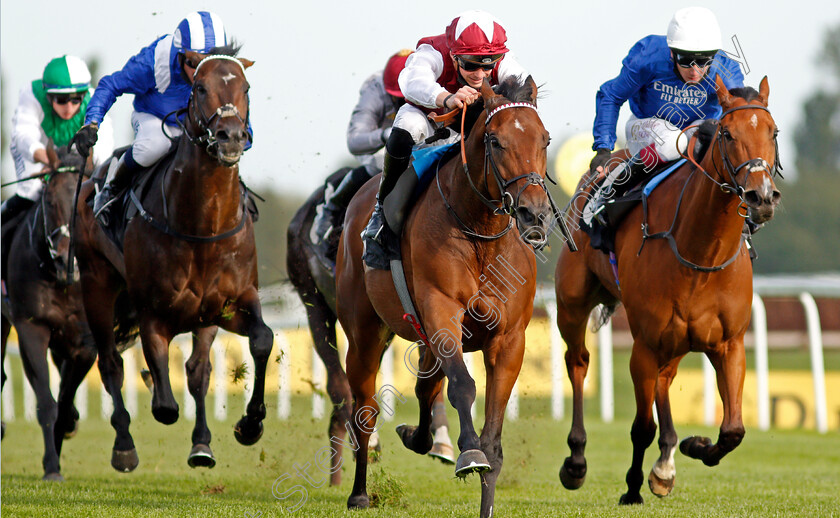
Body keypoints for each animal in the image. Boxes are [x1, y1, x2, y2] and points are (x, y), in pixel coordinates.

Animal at [74, 46, 272, 474]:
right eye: (200, 87)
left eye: (246, 87)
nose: (231, 136)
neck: (203, 225)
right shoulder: (153, 312)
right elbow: (164, 404)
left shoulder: (229, 303)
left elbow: (259, 341)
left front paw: (248, 425)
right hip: (97, 285)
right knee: (110, 363)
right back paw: (124, 445)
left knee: (197, 371)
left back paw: (201, 443)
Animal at [334, 78, 556, 518]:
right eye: (495, 140)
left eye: (545, 139)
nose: (534, 213)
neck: (480, 233)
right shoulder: (442, 313)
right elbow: (464, 387)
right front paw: (469, 454)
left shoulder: (509, 339)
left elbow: (493, 427)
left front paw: (486, 496)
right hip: (364, 335)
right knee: (365, 407)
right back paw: (359, 492)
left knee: (426, 389)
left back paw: (417, 437)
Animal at [556, 75, 780, 506]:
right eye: (727, 134)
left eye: (773, 133)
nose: (761, 197)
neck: (700, 252)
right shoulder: (644, 344)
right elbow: (641, 426)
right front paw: (631, 487)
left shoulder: (728, 343)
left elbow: (734, 429)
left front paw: (692, 447)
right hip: (572, 304)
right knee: (578, 362)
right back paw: (576, 460)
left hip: (675, 341)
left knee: (664, 378)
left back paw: (666, 461)